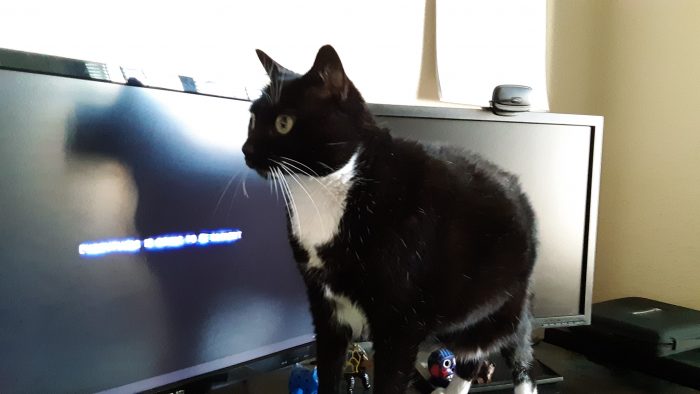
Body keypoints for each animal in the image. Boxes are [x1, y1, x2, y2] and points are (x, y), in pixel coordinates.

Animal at [243, 45, 540, 394]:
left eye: (284, 123)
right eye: (252, 119)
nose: (246, 150)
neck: (325, 192)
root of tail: (519, 189)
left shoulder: (399, 325)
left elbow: (391, 380)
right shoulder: (325, 309)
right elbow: (328, 371)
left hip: (500, 308)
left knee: (515, 352)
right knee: (471, 357)